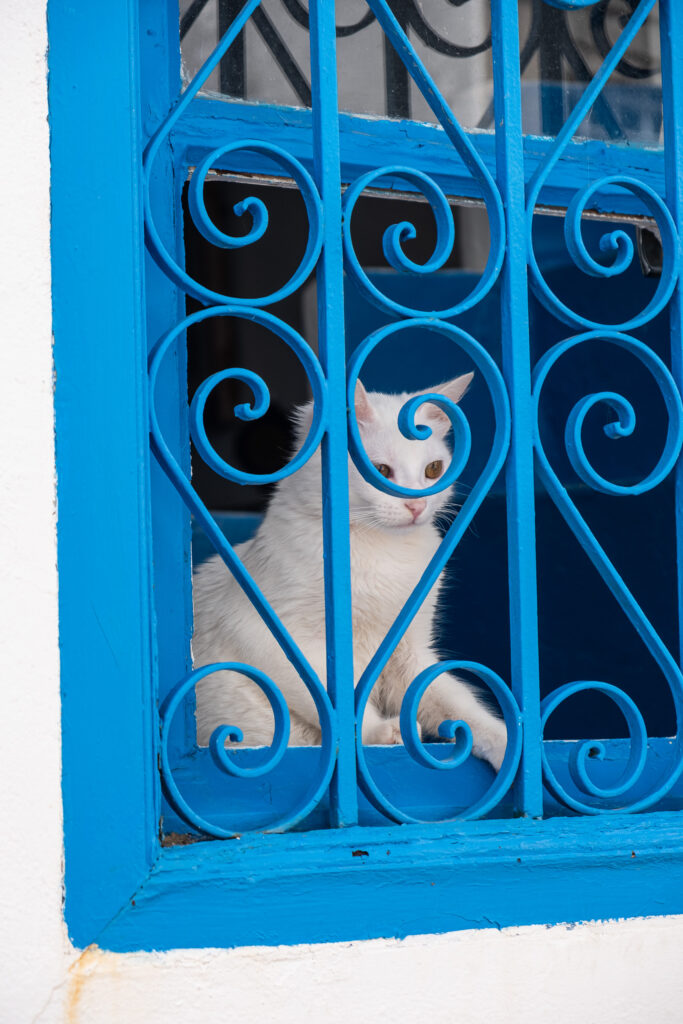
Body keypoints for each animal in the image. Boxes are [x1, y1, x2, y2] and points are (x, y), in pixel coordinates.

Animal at [192, 376, 507, 770]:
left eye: (434, 470)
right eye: (381, 471)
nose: (417, 505)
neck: (383, 553)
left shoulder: (410, 655)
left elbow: (457, 702)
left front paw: (510, 744)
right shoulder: (271, 635)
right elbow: (331, 698)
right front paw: (377, 732)